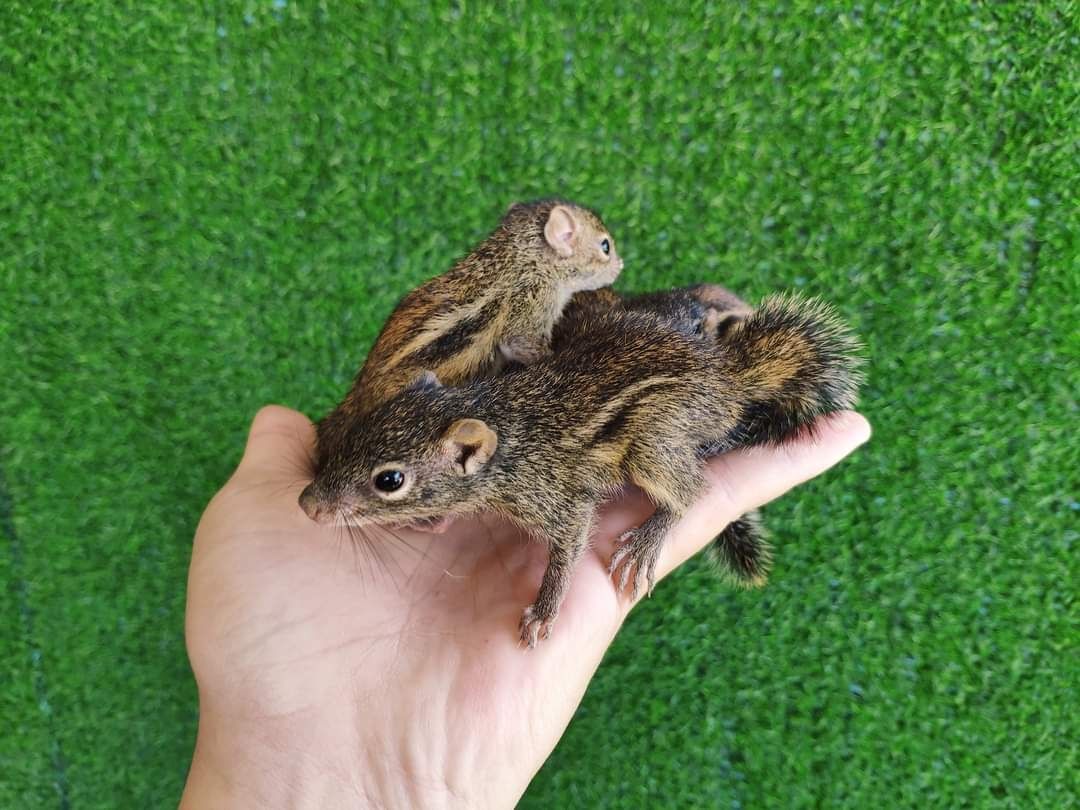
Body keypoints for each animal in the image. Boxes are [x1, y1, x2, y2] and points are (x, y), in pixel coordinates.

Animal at [299, 296, 861, 646]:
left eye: (389, 480)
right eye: (361, 428)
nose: (308, 504)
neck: (508, 437)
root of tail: (727, 378)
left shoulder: (557, 497)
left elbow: (567, 549)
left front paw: (544, 612)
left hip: (654, 438)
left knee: (693, 490)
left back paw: (649, 539)